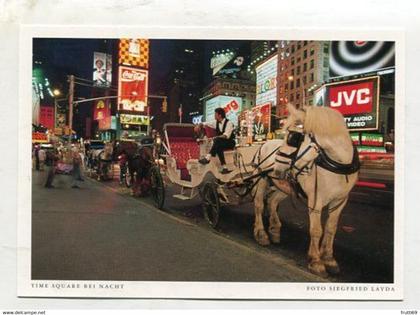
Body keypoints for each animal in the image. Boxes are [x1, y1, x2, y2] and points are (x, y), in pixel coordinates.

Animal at [251, 103, 360, 276]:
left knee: (273, 202)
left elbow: (331, 228)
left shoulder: (340, 200)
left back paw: (274, 229)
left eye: (293, 138)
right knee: (259, 205)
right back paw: (261, 233)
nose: (277, 167)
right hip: (260, 179)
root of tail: (265, 144)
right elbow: (316, 230)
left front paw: (328, 258)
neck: (339, 164)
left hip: (283, 187)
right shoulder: (316, 200)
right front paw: (316, 261)